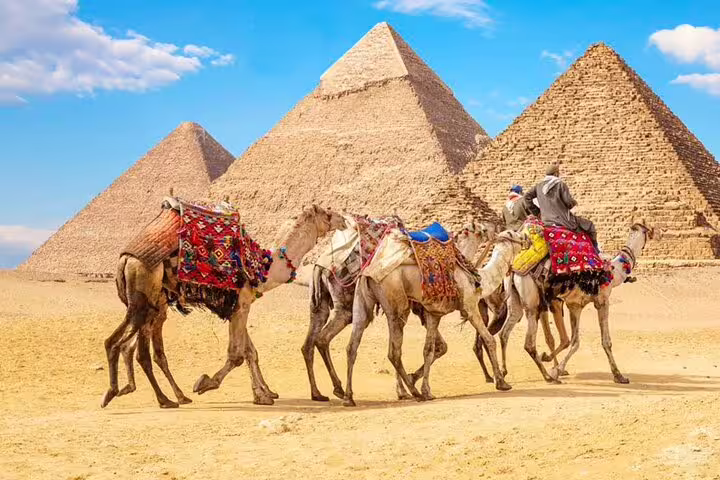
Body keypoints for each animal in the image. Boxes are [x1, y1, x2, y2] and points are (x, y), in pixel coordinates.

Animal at [101, 204, 346, 408]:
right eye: (327, 213)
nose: (343, 219)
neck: (263, 267)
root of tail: (126, 259)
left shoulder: (238, 306)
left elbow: (250, 352)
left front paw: (263, 394)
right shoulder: (242, 302)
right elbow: (238, 355)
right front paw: (206, 383)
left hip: (150, 301)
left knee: (131, 346)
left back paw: (159, 395)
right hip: (146, 293)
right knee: (130, 347)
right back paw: (157, 398)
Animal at [342, 229, 528, 406]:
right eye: (513, 233)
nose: (526, 237)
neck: (480, 279)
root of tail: (369, 271)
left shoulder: (433, 313)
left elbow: (429, 349)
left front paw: (426, 390)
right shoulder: (469, 306)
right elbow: (489, 340)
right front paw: (502, 382)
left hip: (362, 301)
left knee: (352, 345)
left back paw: (349, 397)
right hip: (395, 303)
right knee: (393, 352)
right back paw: (414, 393)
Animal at [499, 221, 657, 384]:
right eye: (648, 230)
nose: (657, 233)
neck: (613, 272)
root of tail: (514, 269)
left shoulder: (574, 306)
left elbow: (573, 341)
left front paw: (553, 364)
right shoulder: (601, 301)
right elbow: (602, 341)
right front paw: (619, 375)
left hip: (515, 298)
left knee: (505, 332)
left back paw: (504, 372)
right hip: (532, 301)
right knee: (529, 343)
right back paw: (548, 377)